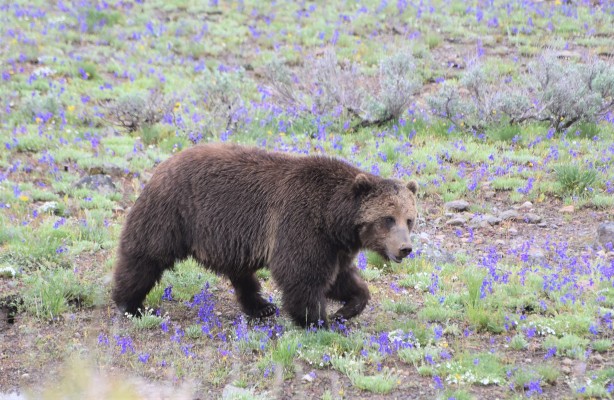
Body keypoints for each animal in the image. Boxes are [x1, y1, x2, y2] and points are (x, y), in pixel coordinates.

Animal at [112, 144, 418, 328]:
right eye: (388, 218)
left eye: (409, 219)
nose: (405, 248)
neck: (334, 218)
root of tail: (164, 163)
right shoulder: (302, 223)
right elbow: (301, 274)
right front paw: (317, 321)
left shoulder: (335, 247)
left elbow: (340, 279)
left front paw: (346, 309)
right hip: (174, 212)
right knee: (145, 255)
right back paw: (130, 303)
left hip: (230, 237)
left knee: (241, 274)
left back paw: (261, 307)